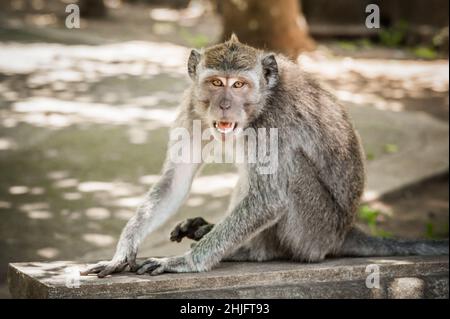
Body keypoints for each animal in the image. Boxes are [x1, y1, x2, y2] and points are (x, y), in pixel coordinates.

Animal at [81, 35, 446, 280]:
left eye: (239, 85)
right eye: (216, 82)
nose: (225, 105)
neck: (259, 106)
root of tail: (344, 232)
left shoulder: (275, 123)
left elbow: (270, 199)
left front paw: (185, 262)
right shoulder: (193, 108)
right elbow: (176, 180)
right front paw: (122, 251)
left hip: (316, 232)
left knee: (290, 171)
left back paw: (249, 251)